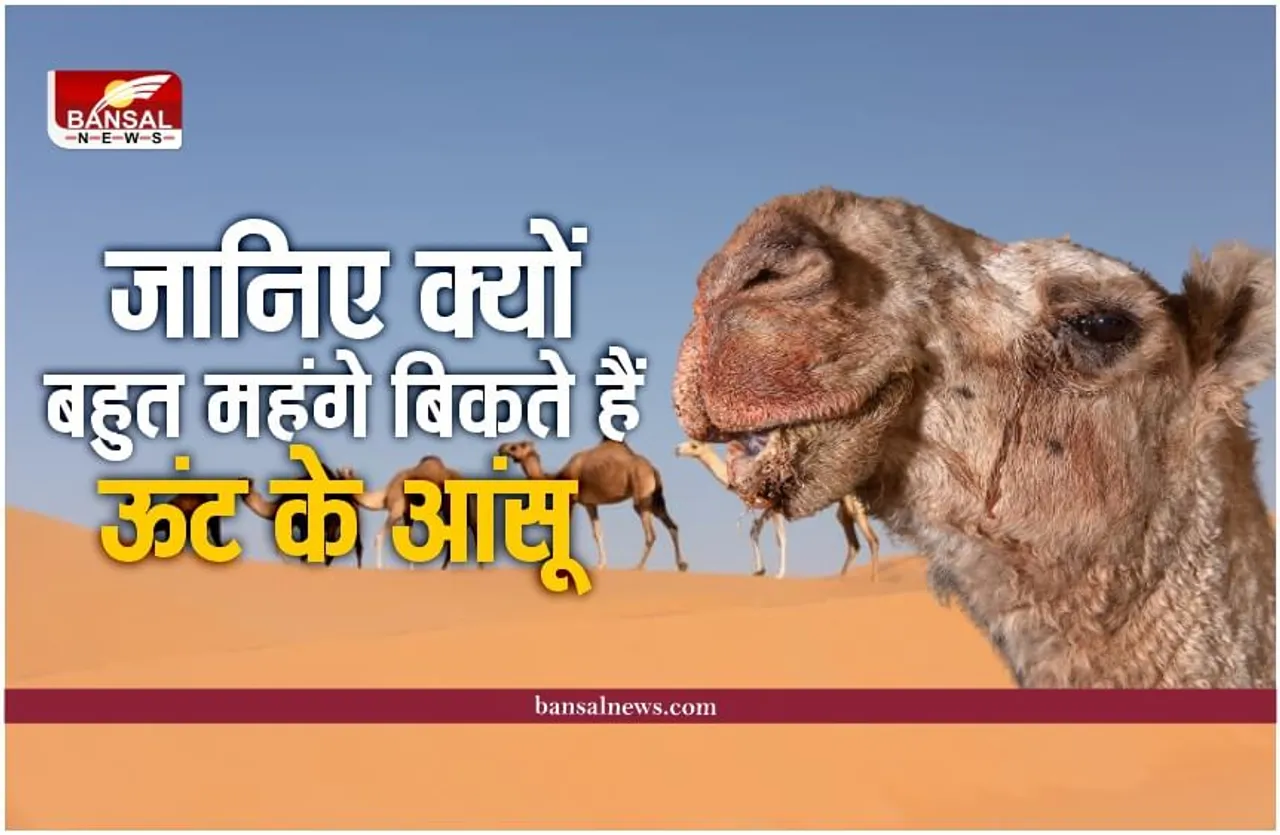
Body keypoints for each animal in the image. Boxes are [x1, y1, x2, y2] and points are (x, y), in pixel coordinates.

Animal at [497, 439, 688, 572]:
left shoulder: (570, 499)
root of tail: (653, 469)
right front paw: (601, 565)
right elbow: (597, 533)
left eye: (516, 446)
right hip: (655, 499)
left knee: (651, 534)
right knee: (673, 526)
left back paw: (637, 567)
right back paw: (681, 565)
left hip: (641, 497)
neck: (558, 477)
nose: (501, 447)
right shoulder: (590, 503)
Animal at [675, 439, 880, 579]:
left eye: (694, 445)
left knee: (872, 538)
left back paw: (873, 580)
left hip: (852, 500)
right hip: (843, 504)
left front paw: (779, 574)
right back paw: (842, 579)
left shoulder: (775, 505)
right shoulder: (768, 507)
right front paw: (759, 570)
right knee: (853, 542)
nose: (676, 449)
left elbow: (780, 538)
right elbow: (754, 531)